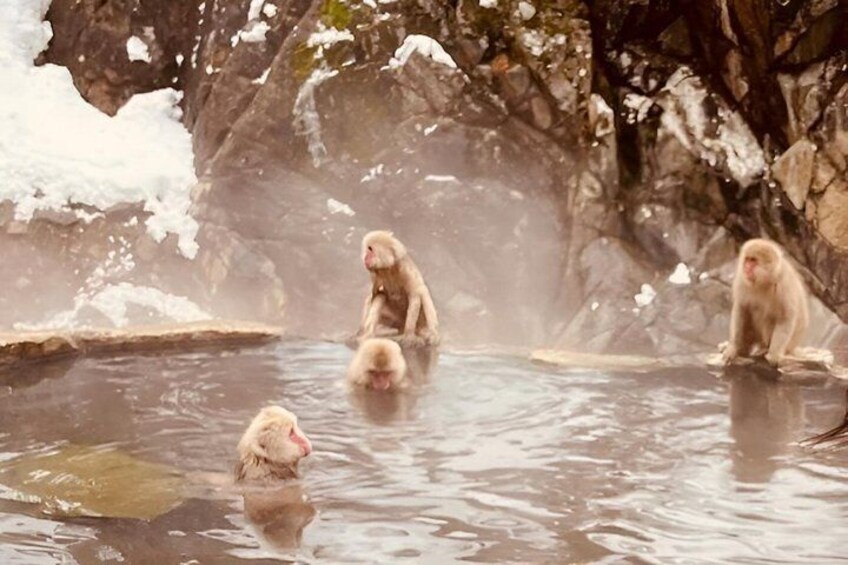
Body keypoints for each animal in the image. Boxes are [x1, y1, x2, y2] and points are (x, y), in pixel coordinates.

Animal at [722, 238, 809, 367]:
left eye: (753, 261)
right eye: (747, 259)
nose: (746, 267)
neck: (763, 282)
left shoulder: (784, 285)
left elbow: (785, 317)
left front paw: (774, 355)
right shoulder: (742, 281)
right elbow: (741, 309)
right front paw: (734, 348)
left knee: (769, 317)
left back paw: (765, 349)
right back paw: (743, 349)